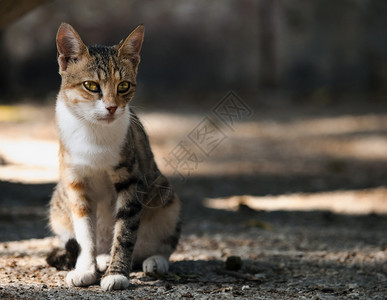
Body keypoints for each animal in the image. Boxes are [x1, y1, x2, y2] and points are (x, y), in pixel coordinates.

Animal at [46, 23, 182, 290]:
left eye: (123, 86)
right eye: (91, 86)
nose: (111, 107)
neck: (93, 131)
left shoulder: (130, 178)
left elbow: (125, 232)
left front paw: (117, 274)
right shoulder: (75, 182)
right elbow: (85, 233)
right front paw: (85, 269)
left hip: (165, 197)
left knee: (160, 244)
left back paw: (154, 261)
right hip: (58, 206)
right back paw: (101, 259)